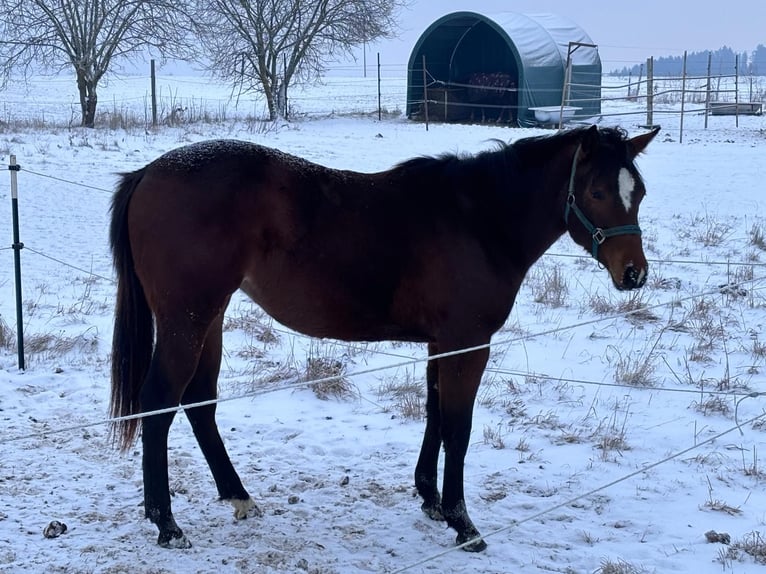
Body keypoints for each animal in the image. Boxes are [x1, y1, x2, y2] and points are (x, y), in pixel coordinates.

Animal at [109, 124, 660, 552]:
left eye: (639, 192)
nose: (633, 274)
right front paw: (464, 523)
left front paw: (431, 500)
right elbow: (459, 428)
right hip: (187, 320)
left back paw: (237, 496)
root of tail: (147, 174)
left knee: (200, 402)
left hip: (210, 318)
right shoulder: (469, 344)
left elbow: (436, 415)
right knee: (159, 404)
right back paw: (167, 524)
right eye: (596, 193)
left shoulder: (443, 344)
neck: (479, 220)